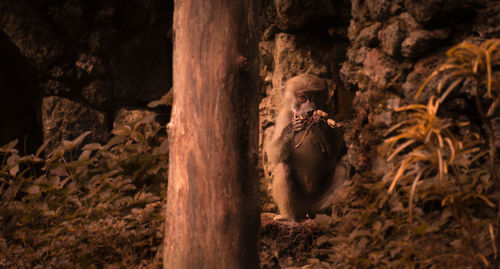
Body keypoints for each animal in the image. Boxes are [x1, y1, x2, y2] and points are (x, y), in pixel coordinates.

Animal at [268, 73, 346, 220]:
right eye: (302, 97)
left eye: (314, 96)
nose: (310, 110)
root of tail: (307, 210)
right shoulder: (284, 116)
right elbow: (273, 155)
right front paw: (291, 129)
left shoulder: (327, 111)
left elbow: (335, 151)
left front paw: (321, 124)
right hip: (299, 205)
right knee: (282, 166)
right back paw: (287, 216)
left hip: (316, 201)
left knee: (341, 170)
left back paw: (327, 212)